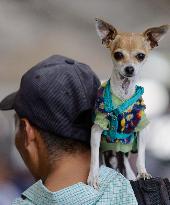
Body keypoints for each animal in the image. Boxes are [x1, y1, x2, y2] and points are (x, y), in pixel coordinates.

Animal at [88, 18, 169, 189]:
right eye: (118, 55)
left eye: (141, 56)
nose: (129, 68)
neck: (123, 95)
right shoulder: (96, 130)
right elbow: (94, 157)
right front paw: (93, 177)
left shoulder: (142, 128)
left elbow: (141, 156)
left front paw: (143, 172)